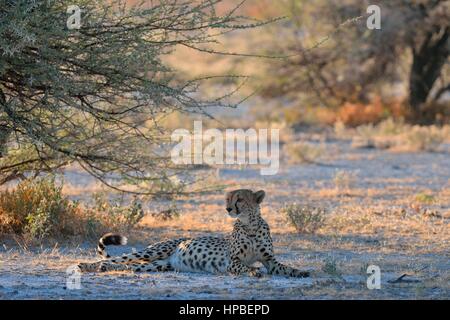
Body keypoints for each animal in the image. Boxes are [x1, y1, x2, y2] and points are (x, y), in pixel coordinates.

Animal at [77, 190, 310, 278]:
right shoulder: (232, 262)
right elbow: (244, 266)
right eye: (228, 199)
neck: (250, 225)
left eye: (240, 199)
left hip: (159, 265)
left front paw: (300, 272)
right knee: (111, 260)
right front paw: (254, 271)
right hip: (152, 253)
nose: (228, 209)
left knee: (127, 266)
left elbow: (284, 267)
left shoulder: (270, 260)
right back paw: (84, 266)